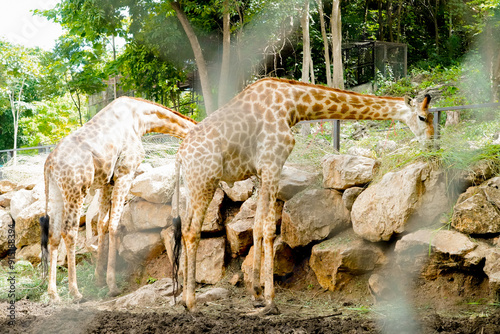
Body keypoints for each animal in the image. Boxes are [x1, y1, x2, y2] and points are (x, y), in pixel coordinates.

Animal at [39, 95, 195, 302]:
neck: (141, 118)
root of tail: (48, 164)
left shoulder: (108, 182)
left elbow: (102, 224)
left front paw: (99, 279)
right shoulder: (125, 172)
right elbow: (113, 224)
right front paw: (112, 285)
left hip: (56, 192)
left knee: (54, 234)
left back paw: (54, 293)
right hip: (76, 190)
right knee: (69, 232)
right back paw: (75, 291)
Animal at [173, 77, 434, 314]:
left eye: (432, 117)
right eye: (423, 117)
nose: (432, 143)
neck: (294, 104)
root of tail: (179, 155)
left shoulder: (261, 171)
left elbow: (257, 226)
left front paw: (256, 295)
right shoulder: (272, 163)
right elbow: (270, 229)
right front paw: (270, 302)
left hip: (193, 185)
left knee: (184, 228)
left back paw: (185, 299)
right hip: (205, 181)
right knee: (192, 232)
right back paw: (192, 304)